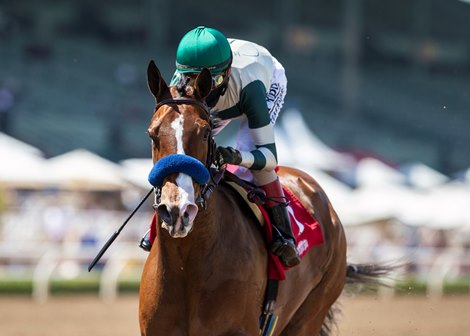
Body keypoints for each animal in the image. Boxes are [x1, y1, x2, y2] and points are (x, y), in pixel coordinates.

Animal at [140, 61, 382, 336]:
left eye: (204, 133)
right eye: (152, 134)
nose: (177, 210)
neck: (187, 264)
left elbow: (267, 153)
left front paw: (229, 155)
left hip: (311, 313)